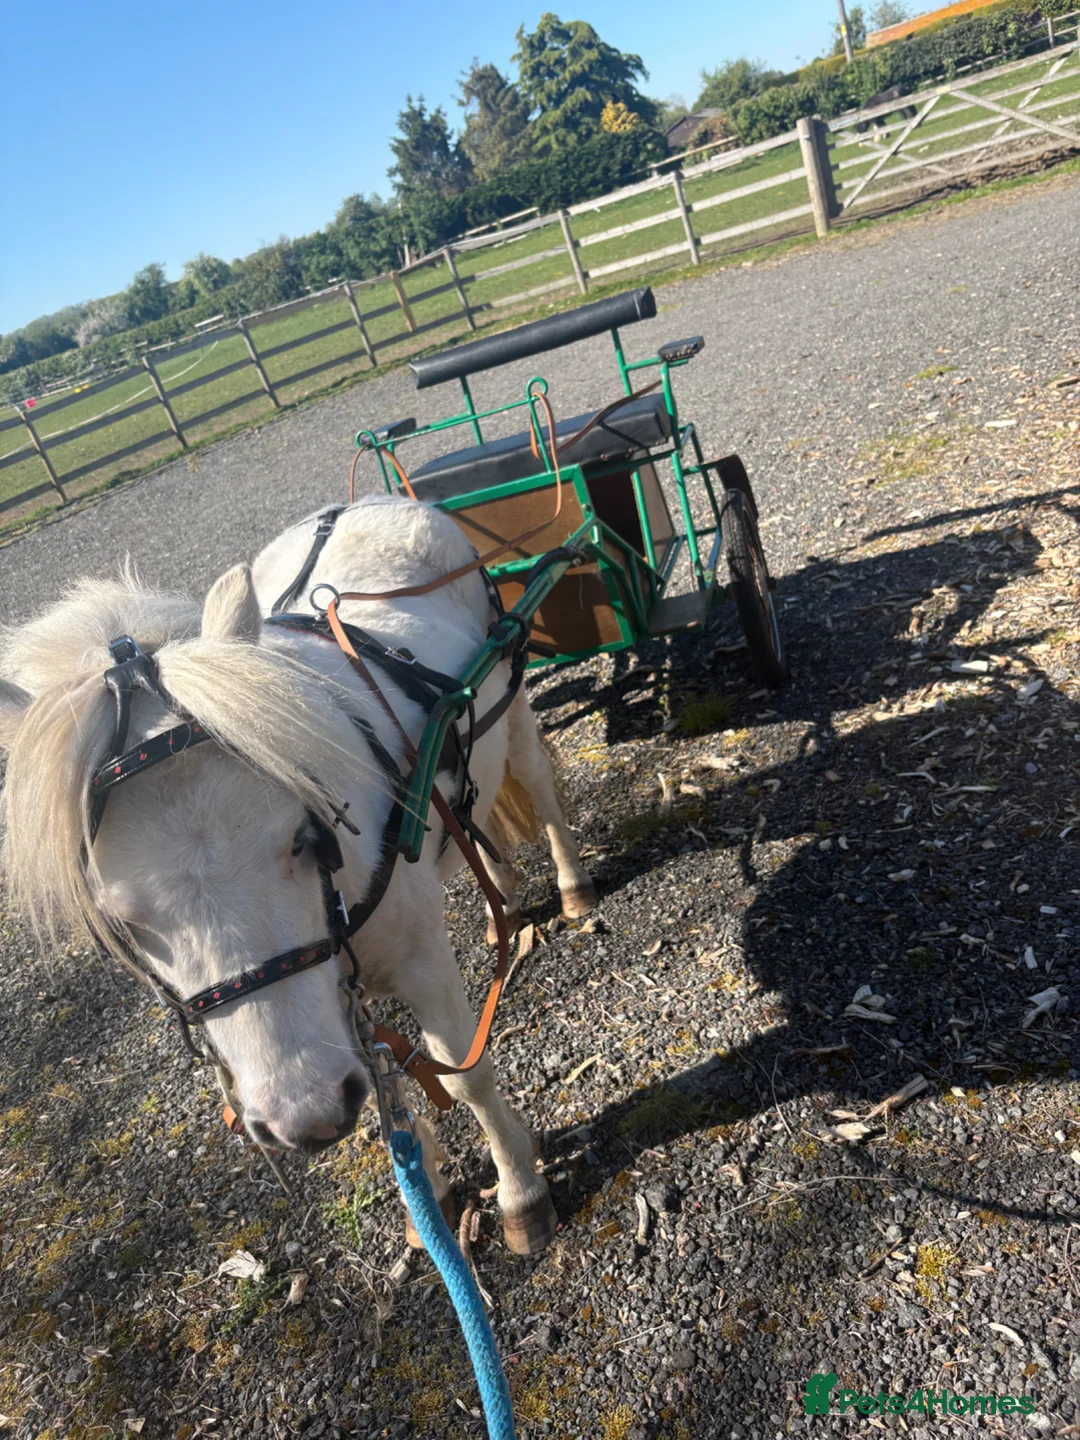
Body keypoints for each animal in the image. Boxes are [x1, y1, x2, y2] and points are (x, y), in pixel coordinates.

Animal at [0, 494, 596, 1255]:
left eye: (302, 838)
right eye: (123, 918)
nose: (304, 1114)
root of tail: (372, 501)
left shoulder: (423, 961)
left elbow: (466, 1074)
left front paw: (519, 1189)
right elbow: (383, 1090)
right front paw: (426, 1202)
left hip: (512, 704)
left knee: (538, 790)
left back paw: (572, 888)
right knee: (473, 806)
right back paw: (502, 894)